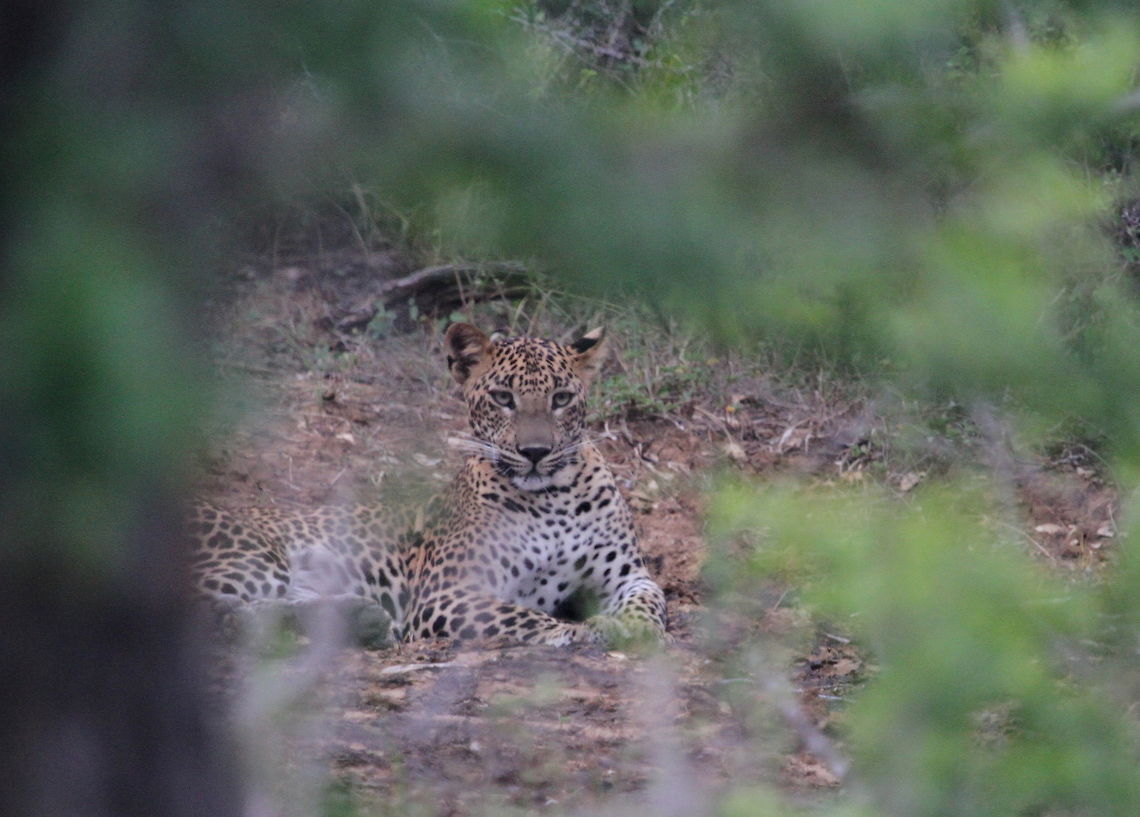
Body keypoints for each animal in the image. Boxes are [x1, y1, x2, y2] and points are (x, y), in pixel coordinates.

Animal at [187, 322, 668, 647]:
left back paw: (361, 618)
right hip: (254, 560)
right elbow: (523, 617)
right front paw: (585, 633)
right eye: (503, 398)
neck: (553, 497)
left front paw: (635, 630)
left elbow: (651, 603)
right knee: (218, 615)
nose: (535, 452)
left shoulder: (629, 577)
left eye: (562, 398)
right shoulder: (448, 593)